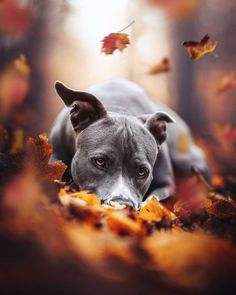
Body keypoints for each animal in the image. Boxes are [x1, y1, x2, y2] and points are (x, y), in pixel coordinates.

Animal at [49, 79, 208, 210]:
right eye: (100, 161)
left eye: (142, 171)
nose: (123, 204)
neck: (119, 108)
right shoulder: (55, 152)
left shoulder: (166, 184)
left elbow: (154, 199)